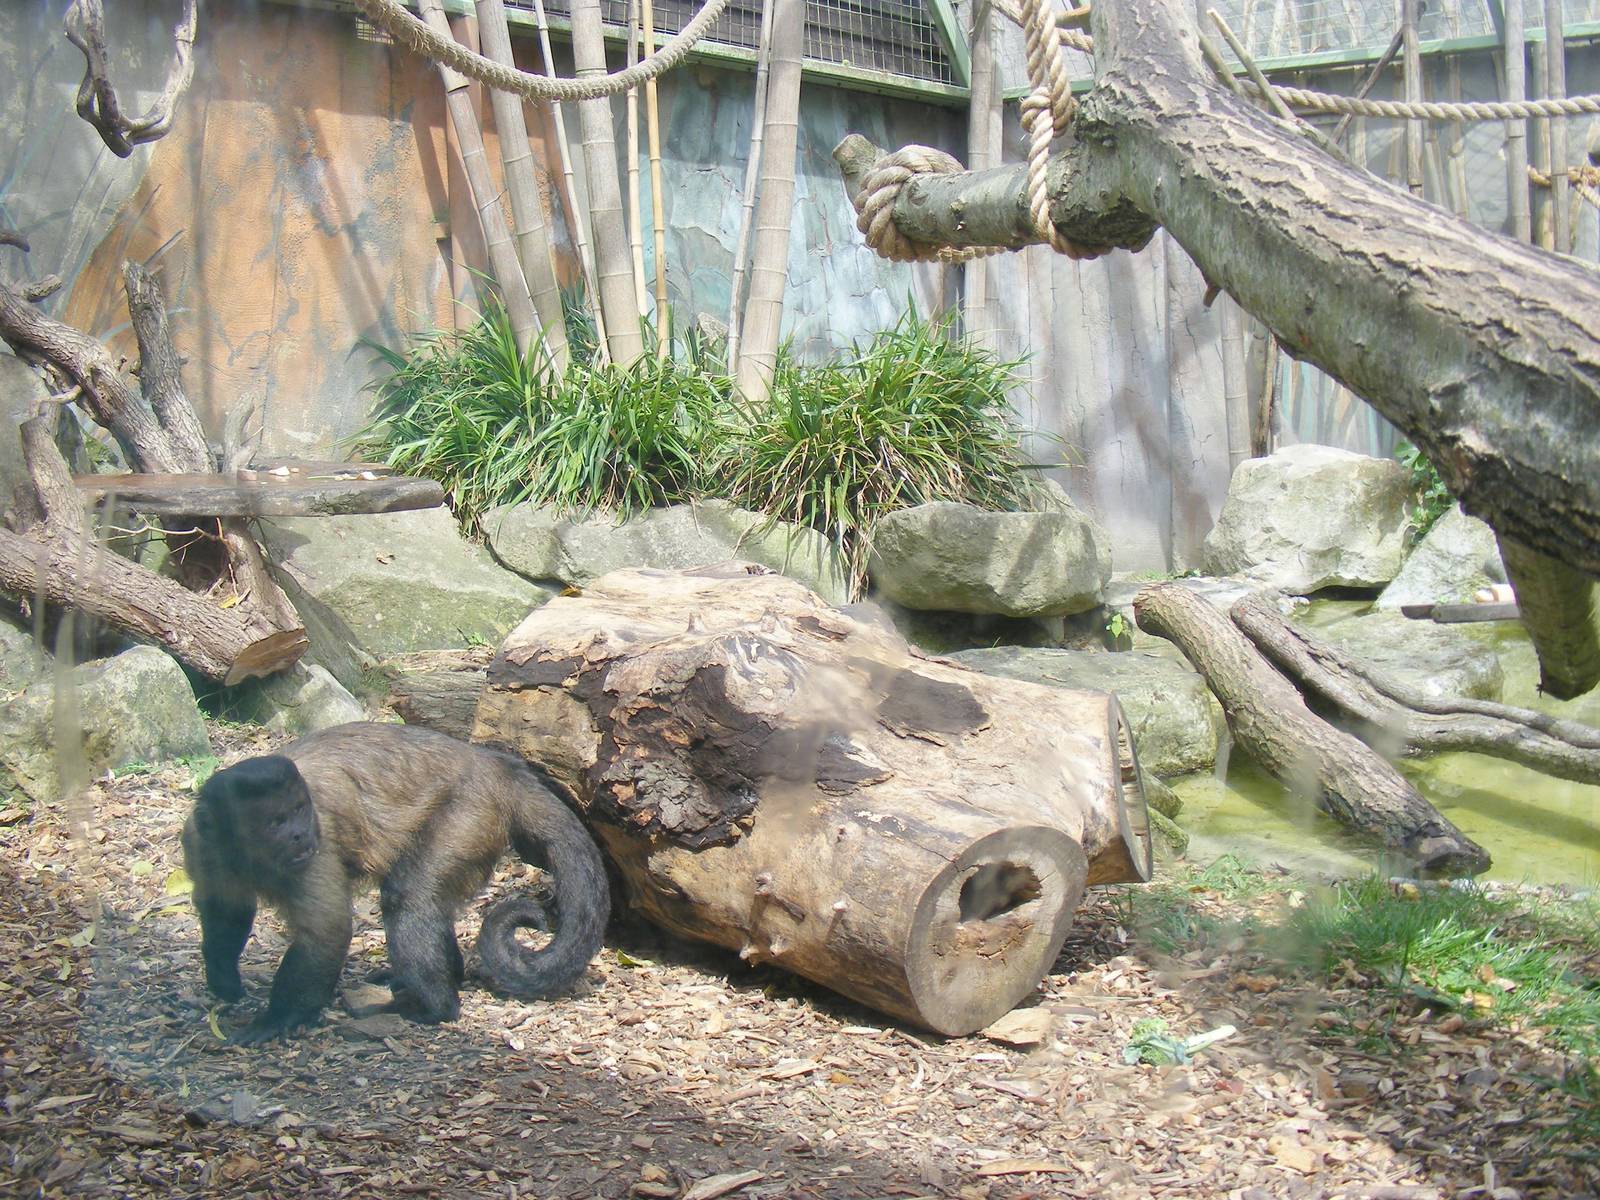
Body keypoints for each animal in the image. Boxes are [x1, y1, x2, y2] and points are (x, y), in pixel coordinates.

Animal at [181, 722, 611, 1043]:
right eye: (276, 822)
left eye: (299, 811)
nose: (300, 835)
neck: (250, 857)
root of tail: (494, 766)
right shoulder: (200, 841)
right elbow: (225, 910)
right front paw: (223, 978)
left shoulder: (318, 845)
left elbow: (327, 933)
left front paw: (279, 1018)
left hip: (469, 814)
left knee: (408, 898)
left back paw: (434, 1006)